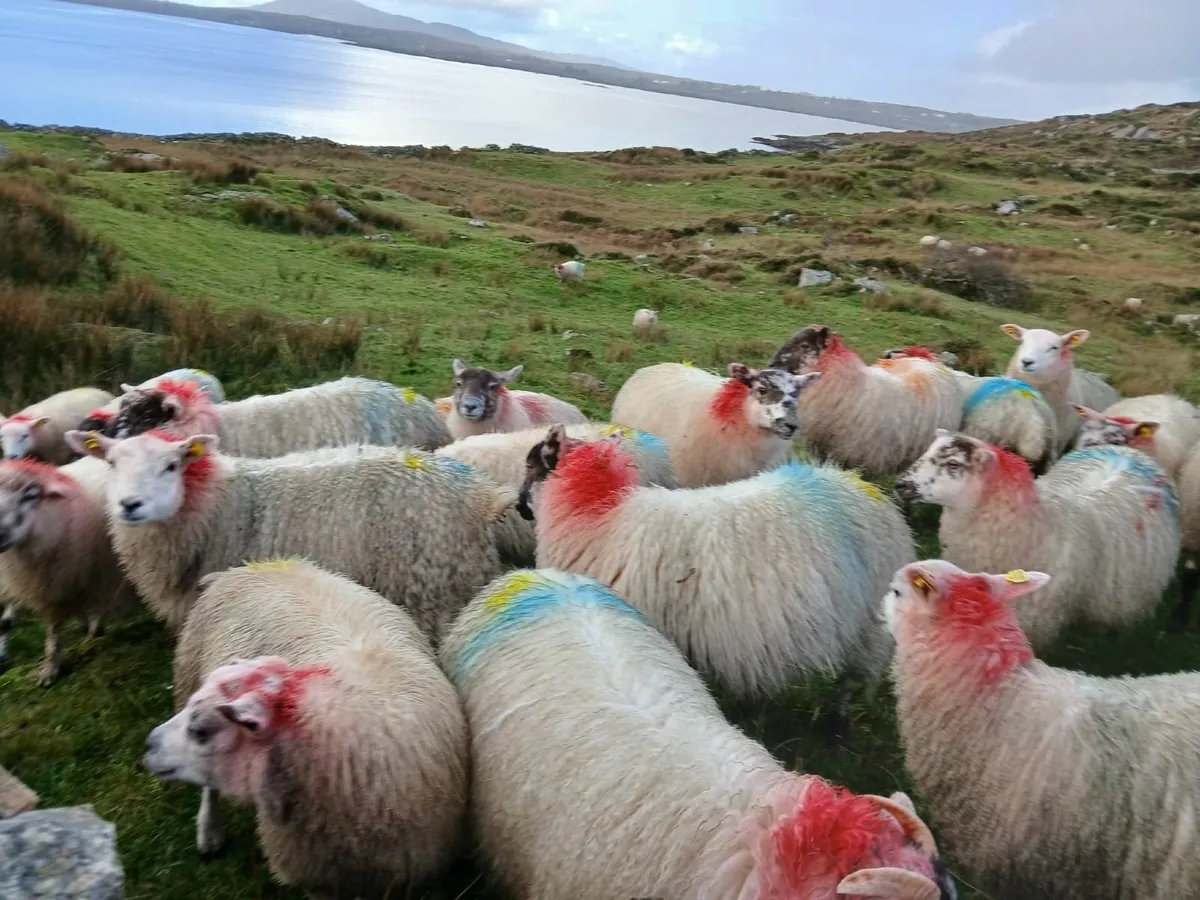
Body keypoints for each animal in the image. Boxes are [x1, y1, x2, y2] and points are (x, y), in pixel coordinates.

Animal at [145, 559, 467, 896]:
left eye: (203, 731)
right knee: (210, 790)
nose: (148, 743)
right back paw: (209, 834)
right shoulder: (316, 877)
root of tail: (242, 568)